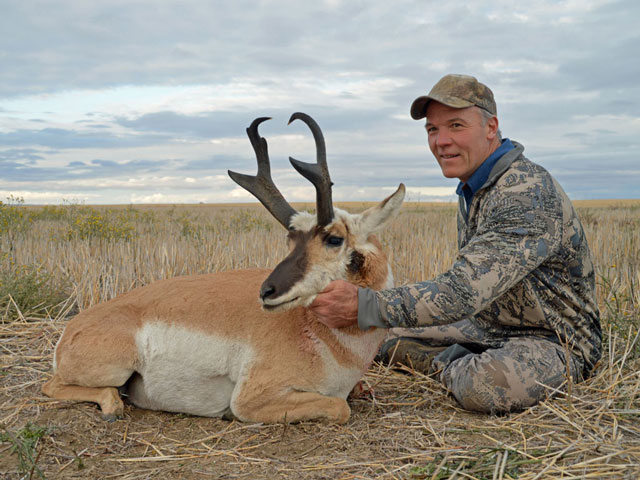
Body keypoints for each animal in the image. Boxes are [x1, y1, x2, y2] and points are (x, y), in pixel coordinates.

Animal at [42, 113, 404, 424]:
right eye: (291, 239)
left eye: (333, 238)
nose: (267, 291)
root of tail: (72, 328)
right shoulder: (252, 399)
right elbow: (341, 407)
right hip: (114, 368)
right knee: (54, 386)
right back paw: (112, 405)